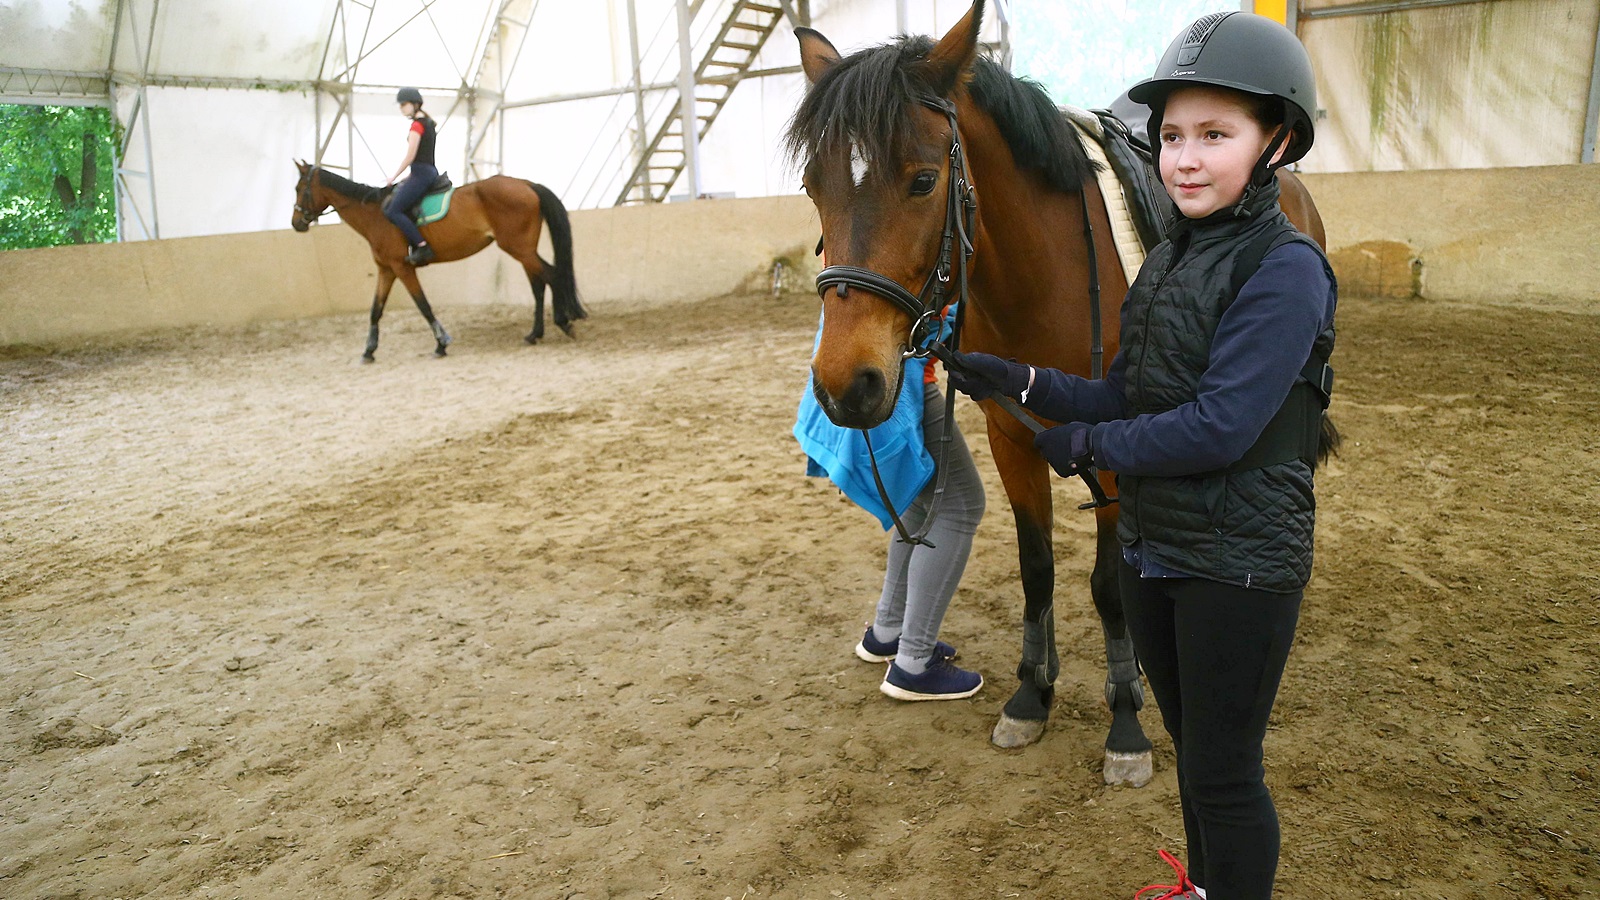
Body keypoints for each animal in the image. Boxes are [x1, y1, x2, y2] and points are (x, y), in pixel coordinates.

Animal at [291, 160, 585, 360]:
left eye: (298, 188)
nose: (296, 223)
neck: (376, 215)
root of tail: (525, 183)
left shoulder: (402, 268)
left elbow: (424, 305)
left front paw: (441, 344)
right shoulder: (386, 269)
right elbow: (376, 309)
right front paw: (369, 351)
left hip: (519, 248)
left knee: (552, 275)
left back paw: (563, 323)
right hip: (523, 249)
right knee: (540, 283)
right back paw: (534, 334)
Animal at [787, 0, 1324, 781]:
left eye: (923, 181)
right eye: (812, 186)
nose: (846, 386)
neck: (1040, 275)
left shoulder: (1119, 449)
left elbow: (1107, 586)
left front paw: (1126, 720)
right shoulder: (1014, 435)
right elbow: (1036, 568)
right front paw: (1030, 696)